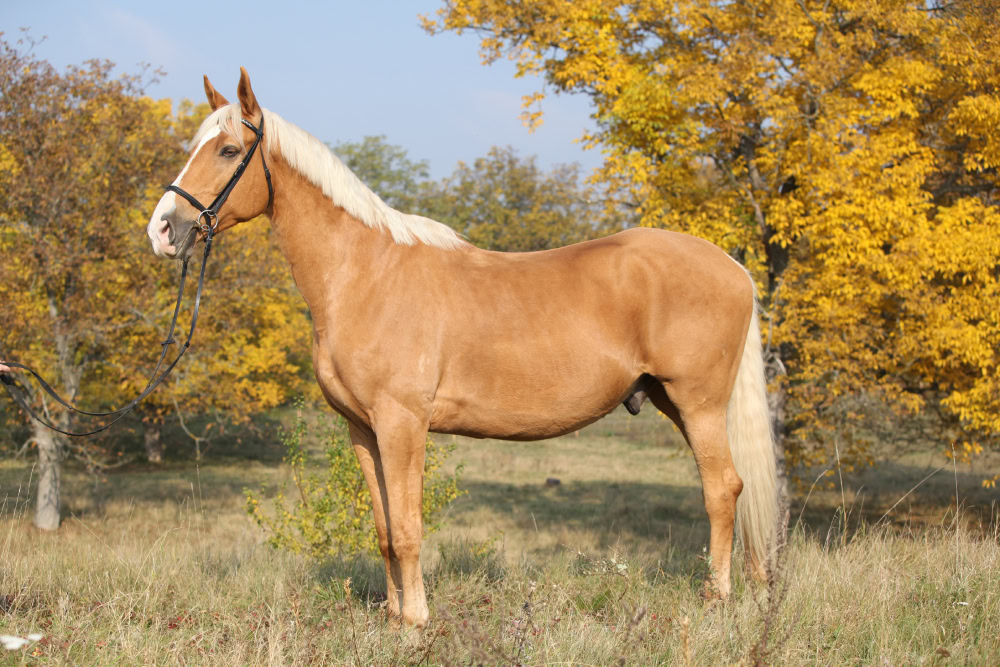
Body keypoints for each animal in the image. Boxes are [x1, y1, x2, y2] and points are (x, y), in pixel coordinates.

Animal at [146, 68, 778, 629]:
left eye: (229, 149)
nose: (163, 229)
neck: (365, 274)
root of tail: (734, 267)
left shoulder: (402, 423)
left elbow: (408, 527)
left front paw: (417, 620)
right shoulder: (361, 428)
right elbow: (384, 529)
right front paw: (394, 617)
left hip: (698, 404)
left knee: (723, 490)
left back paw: (716, 600)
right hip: (673, 401)